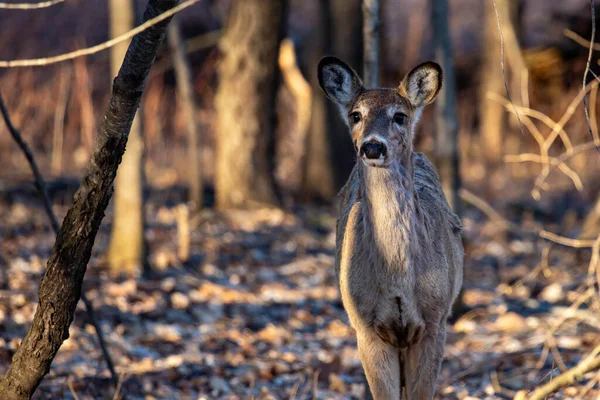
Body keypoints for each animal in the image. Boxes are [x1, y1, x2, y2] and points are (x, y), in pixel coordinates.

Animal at [318, 55, 464, 400]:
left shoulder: (435, 321)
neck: (397, 277)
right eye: (356, 114)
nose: (372, 147)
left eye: (399, 115)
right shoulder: (366, 326)